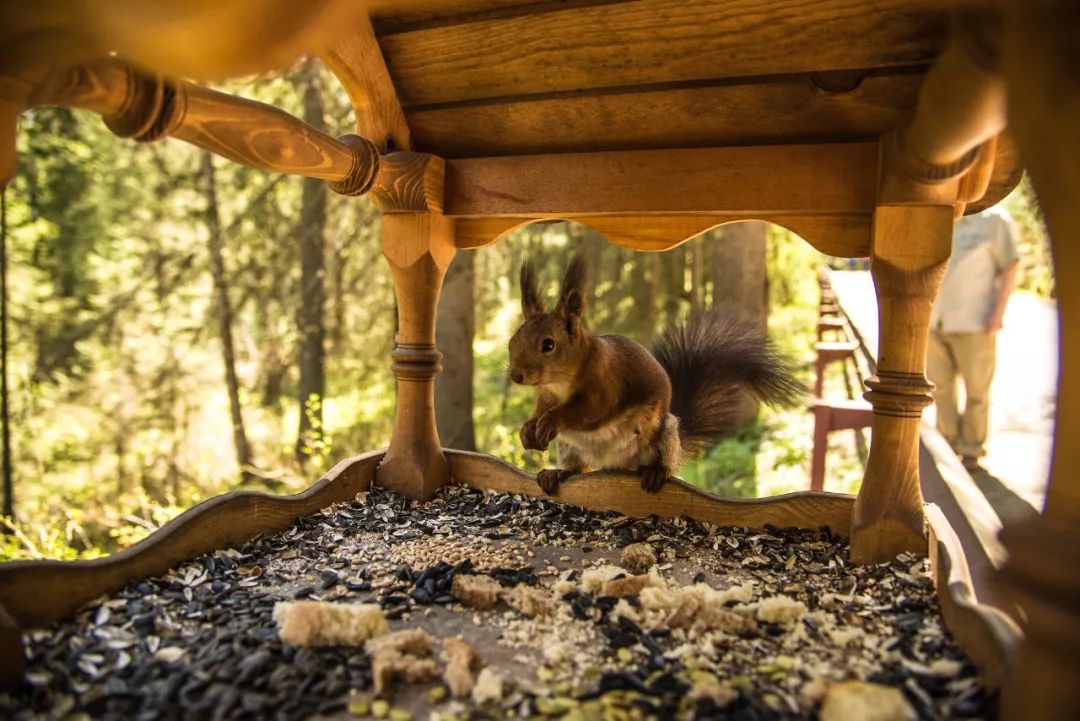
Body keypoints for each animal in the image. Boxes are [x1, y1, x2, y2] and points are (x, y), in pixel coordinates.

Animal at [505, 250, 803, 492]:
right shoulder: (547, 394)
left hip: (664, 433)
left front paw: (550, 421)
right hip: (569, 447)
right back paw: (557, 474)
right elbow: (541, 409)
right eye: (513, 339)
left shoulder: (606, 383)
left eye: (548, 344)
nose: (516, 376)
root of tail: (615, 465)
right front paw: (528, 429)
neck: (561, 381)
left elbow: (589, 411)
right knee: (578, 468)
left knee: (664, 462)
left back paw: (656, 472)